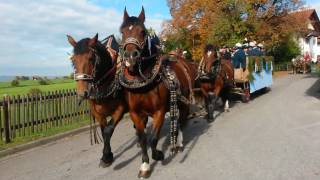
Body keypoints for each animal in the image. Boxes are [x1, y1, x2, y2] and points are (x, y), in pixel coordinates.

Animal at [67, 34, 127, 168]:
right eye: (73, 61)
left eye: (91, 58)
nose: (82, 93)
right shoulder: (98, 113)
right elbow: (104, 132)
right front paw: (106, 156)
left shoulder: (120, 109)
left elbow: (108, 131)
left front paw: (107, 157)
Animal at [119, 7, 192, 178]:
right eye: (122, 32)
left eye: (143, 31)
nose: (130, 56)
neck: (142, 84)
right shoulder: (136, 114)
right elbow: (143, 139)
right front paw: (145, 165)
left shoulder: (159, 111)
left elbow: (153, 138)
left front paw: (158, 154)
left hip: (183, 101)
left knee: (181, 120)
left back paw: (179, 143)